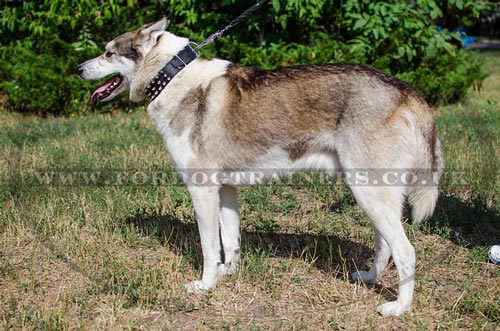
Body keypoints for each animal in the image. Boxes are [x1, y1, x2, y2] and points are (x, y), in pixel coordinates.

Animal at [76, 18, 444, 320]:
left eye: (108, 53)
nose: (78, 68)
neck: (172, 76)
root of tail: (405, 90)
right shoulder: (226, 191)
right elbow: (230, 241)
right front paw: (228, 273)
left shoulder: (202, 190)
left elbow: (208, 248)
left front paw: (206, 285)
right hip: (373, 196)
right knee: (386, 246)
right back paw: (369, 278)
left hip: (369, 192)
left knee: (407, 251)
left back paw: (399, 308)